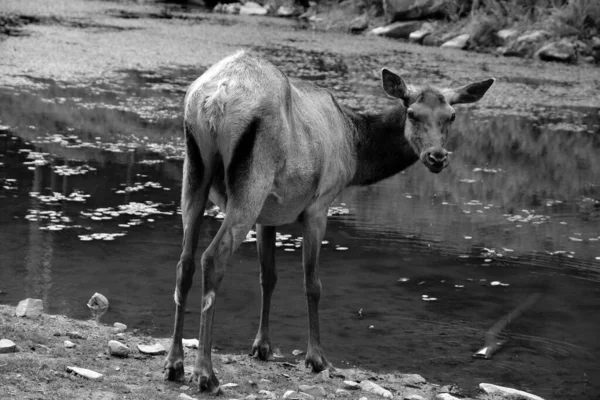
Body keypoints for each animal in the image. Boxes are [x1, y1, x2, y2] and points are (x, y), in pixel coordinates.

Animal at [163, 50, 492, 394]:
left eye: (451, 116)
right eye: (413, 113)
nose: (437, 156)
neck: (355, 151)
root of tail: (216, 99)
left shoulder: (269, 214)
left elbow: (268, 276)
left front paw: (262, 346)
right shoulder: (320, 204)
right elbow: (313, 284)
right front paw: (317, 358)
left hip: (195, 172)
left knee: (185, 262)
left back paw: (174, 364)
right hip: (252, 179)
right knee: (212, 258)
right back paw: (205, 373)